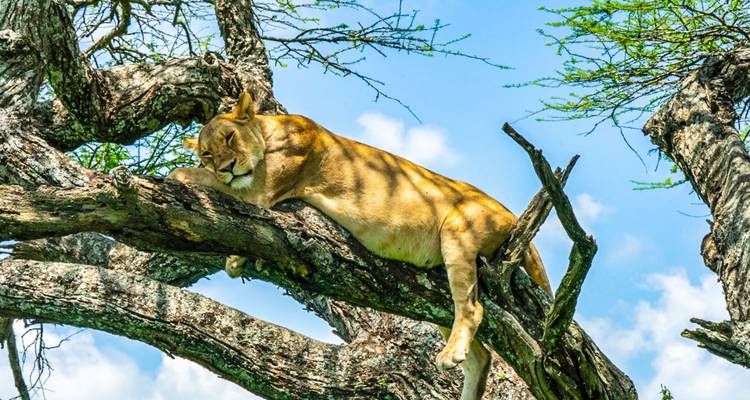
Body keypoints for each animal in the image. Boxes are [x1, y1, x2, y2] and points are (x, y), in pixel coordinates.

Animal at [168, 92, 552, 400]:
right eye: (207, 153)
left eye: (230, 137)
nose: (227, 167)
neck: (268, 130)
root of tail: (510, 214)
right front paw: (239, 260)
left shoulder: (260, 192)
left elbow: (194, 177)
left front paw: (179, 176)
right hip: (435, 296)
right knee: (481, 355)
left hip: (458, 231)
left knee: (472, 308)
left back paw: (451, 353)